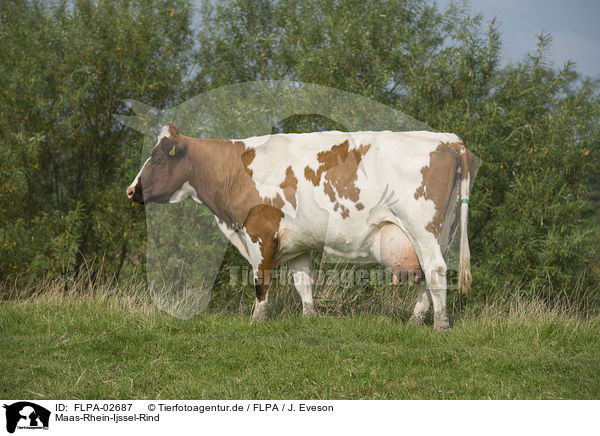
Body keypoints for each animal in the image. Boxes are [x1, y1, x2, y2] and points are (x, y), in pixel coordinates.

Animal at [126, 124, 474, 328]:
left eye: (158, 158)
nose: (130, 190)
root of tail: (448, 139)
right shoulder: (298, 242)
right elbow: (303, 282)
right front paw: (309, 317)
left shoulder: (259, 232)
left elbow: (261, 280)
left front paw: (256, 320)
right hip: (443, 230)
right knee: (427, 275)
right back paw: (416, 319)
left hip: (422, 227)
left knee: (435, 269)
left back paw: (441, 324)